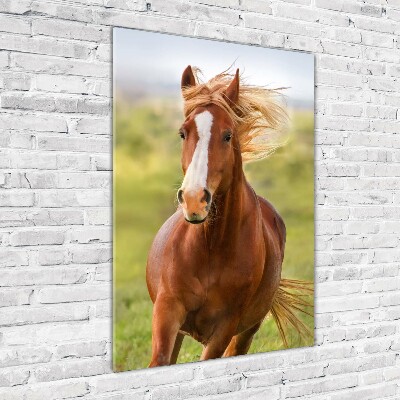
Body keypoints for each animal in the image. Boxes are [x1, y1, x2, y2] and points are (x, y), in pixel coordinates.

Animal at [145, 66, 310, 368]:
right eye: (183, 133)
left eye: (228, 135)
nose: (194, 200)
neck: (210, 249)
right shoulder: (167, 312)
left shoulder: (225, 328)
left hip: (247, 331)